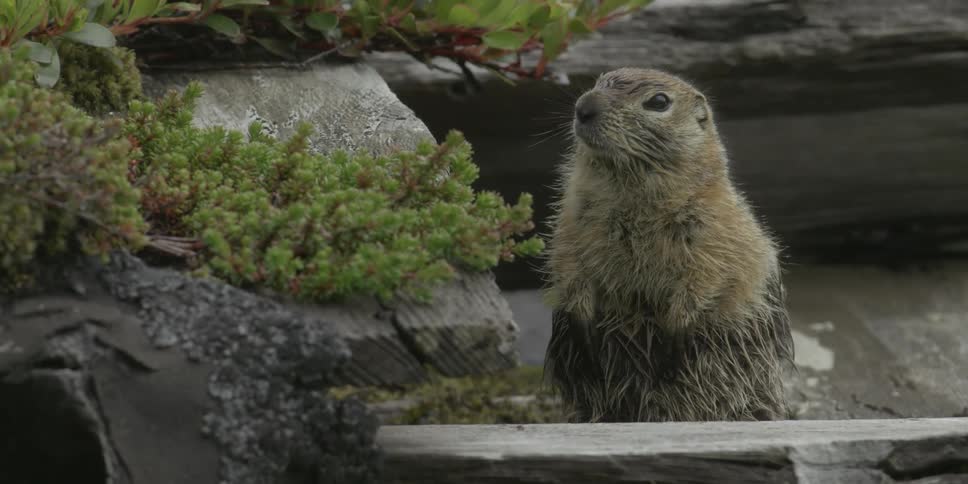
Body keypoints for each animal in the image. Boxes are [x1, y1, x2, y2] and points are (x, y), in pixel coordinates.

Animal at [541, 67, 795, 422]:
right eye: (599, 81)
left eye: (659, 101)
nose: (584, 108)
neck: (632, 193)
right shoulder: (570, 225)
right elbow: (570, 271)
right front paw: (584, 333)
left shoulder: (714, 232)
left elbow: (706, 280)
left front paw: (674, 344)